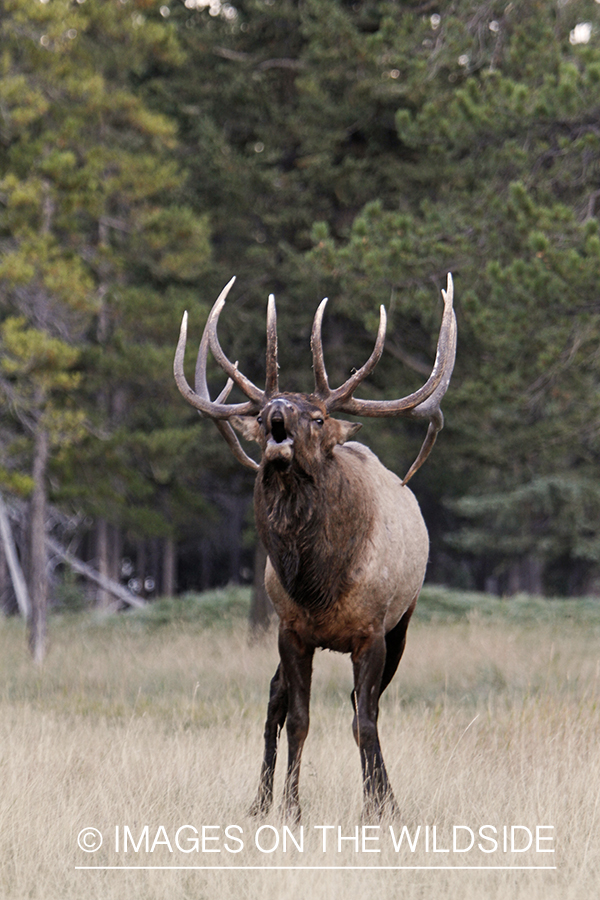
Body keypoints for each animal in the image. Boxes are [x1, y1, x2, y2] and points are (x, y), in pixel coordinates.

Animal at [176, 276, 458, 824]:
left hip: (404, 622)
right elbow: (299, 718)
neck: (317, 582)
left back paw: (384, 797)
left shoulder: (373, 631)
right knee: (275, 700)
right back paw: (259, 801)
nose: (276, 415)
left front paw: (376, 808)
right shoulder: (291, 630)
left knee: (363, 706)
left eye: (320, 415)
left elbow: (364, 721)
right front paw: (290, 807)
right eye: (262, 412)